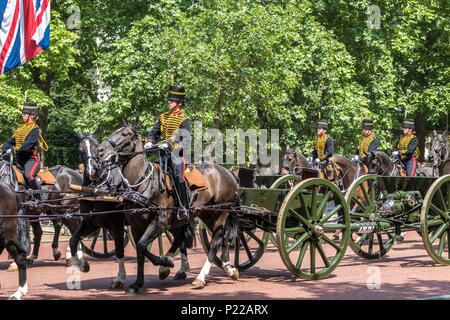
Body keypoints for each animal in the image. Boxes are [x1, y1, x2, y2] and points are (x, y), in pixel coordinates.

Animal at [97, 120, 241, 296]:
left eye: (125, 133)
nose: (100, 149)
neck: (142, 182)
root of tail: (228, 172)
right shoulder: (137, 227)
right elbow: (140, 252)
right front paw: (138, 283)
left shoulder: (160, 223)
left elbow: (142, 246)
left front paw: (166, 262)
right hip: (204, 214)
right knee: (216, 238)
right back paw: (228, 268)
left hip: (219, 213)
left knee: (216, 241)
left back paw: (200, 277)